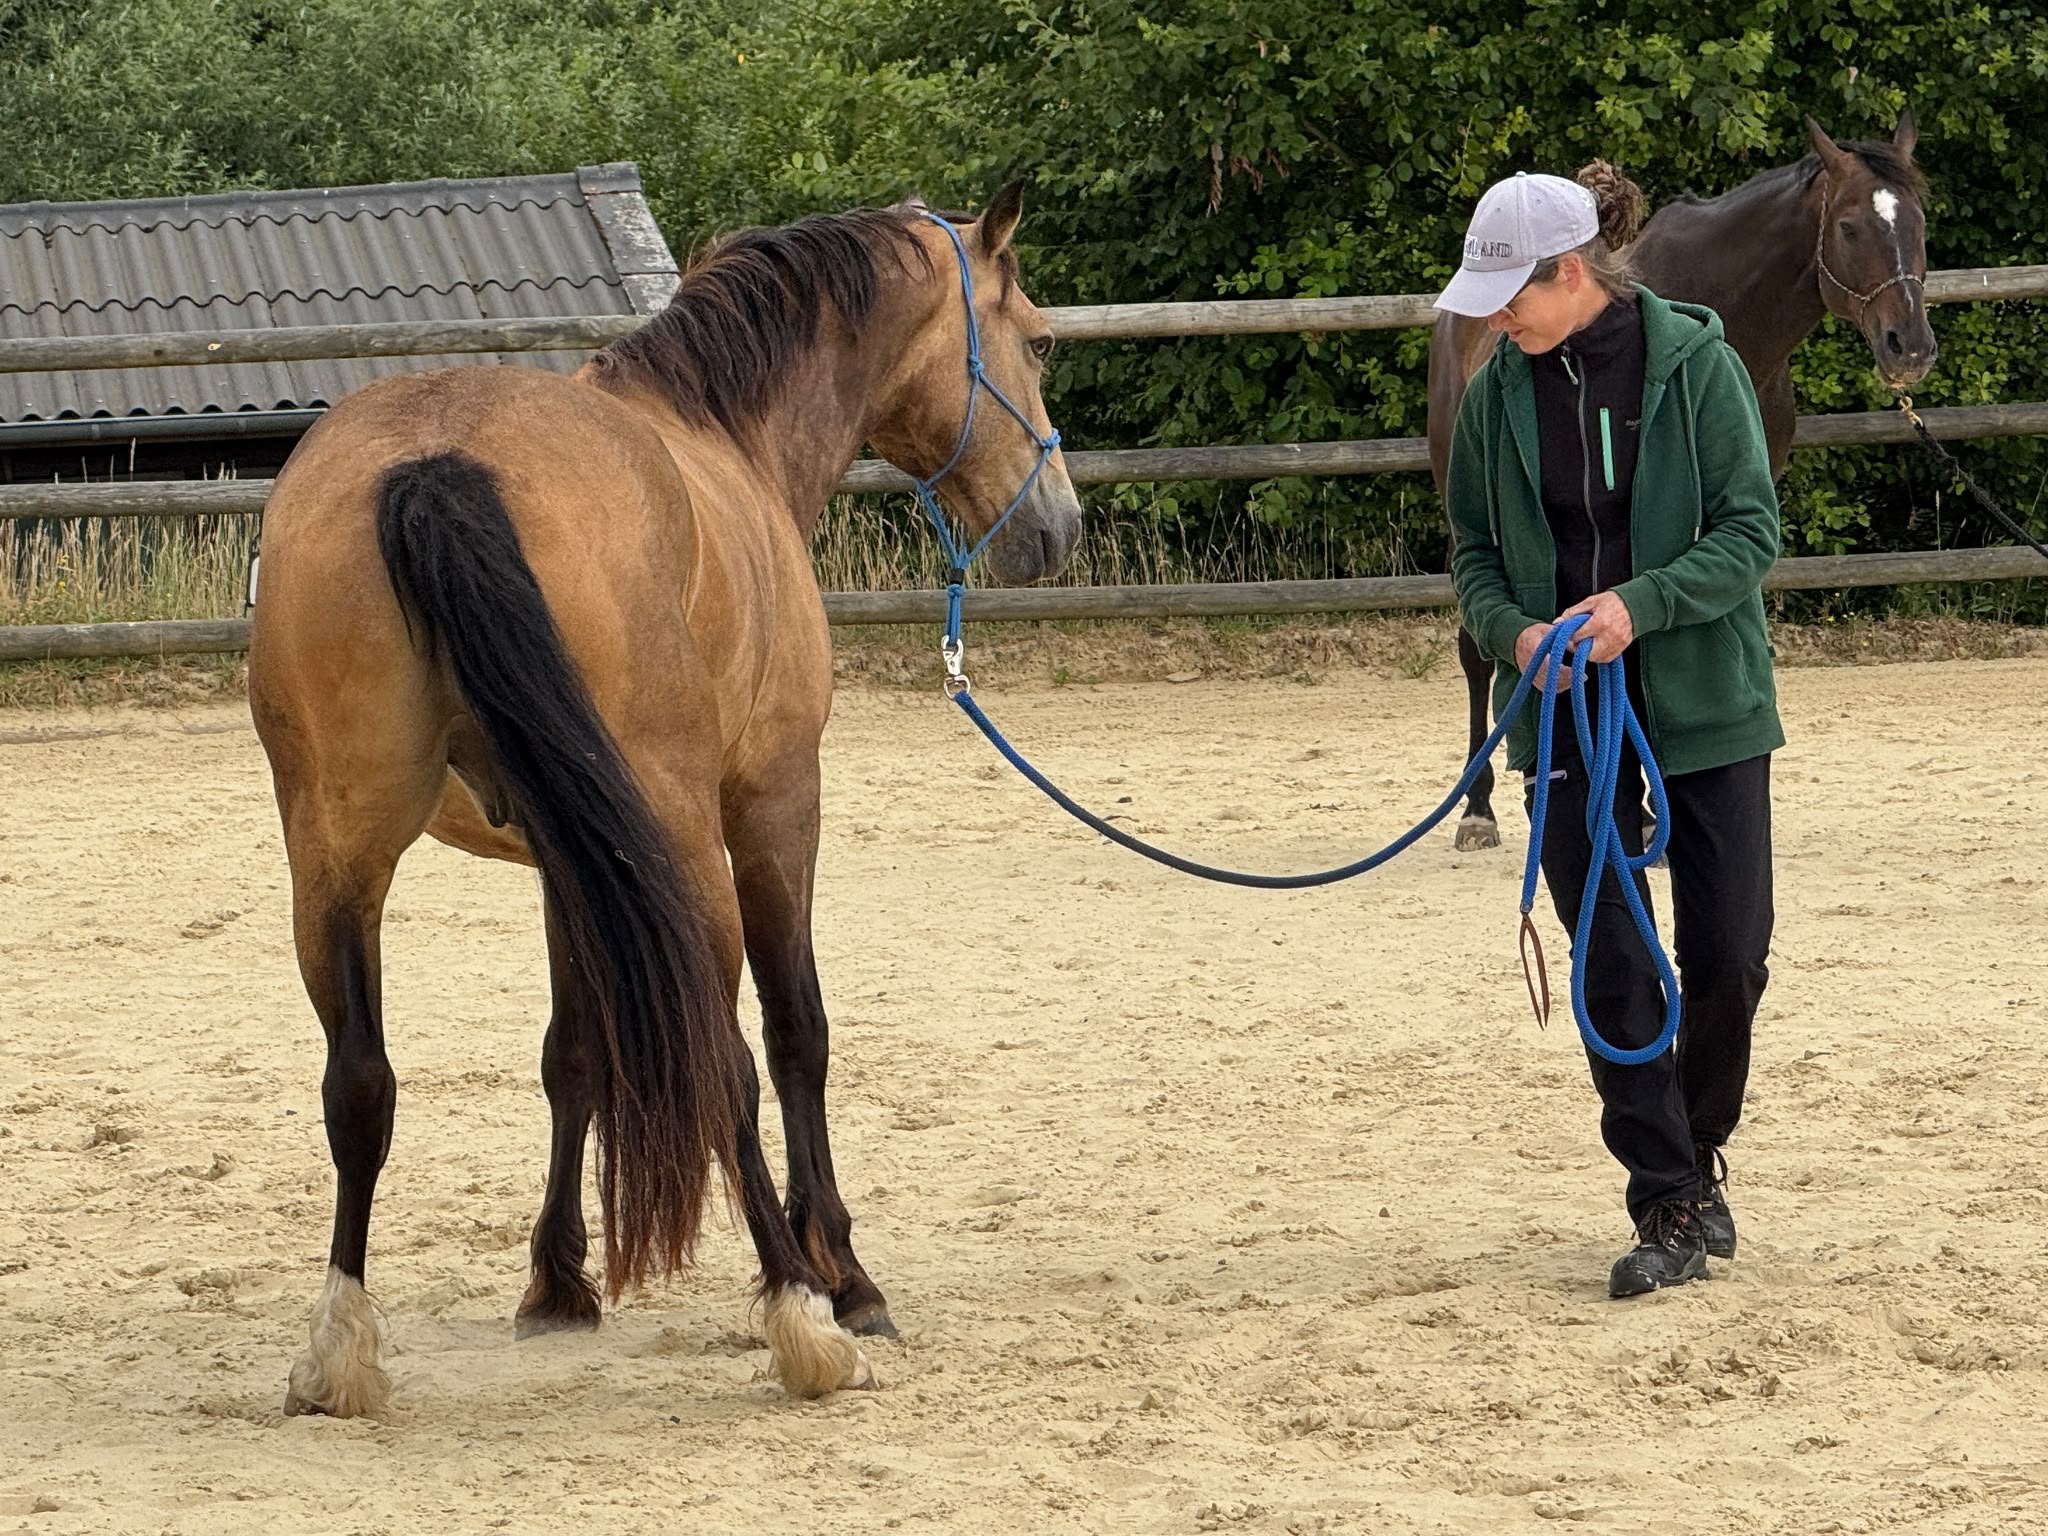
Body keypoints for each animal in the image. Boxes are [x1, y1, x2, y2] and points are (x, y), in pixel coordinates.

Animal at [246, 186, 1082, 1415]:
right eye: (1037, 340)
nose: (1054, 527)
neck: (721, 439)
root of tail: (434, 462)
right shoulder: (776, 806)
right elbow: (795, 1034)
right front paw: (846, 1276)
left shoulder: (564, 860)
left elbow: (570, 1058)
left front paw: (555, 1286)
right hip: (675, 842)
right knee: (718, 1059)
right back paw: (802, 1320)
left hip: (338, 851)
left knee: (360, 1085)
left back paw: (339, 1350)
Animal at [1427, 110, 1933, 850]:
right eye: (1847, 226)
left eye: (1919, 223)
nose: (1911, 347)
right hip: (1458, 494)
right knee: (1474, 650)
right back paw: (1478, 808)